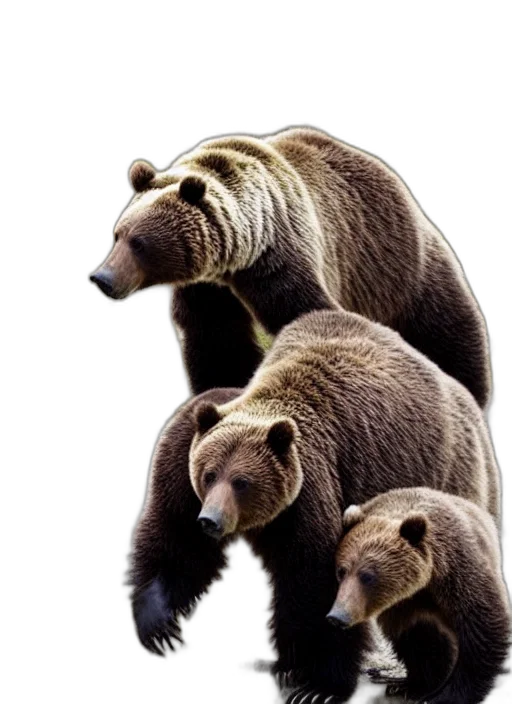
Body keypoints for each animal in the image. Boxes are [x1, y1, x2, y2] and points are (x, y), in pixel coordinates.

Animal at [90, 126, 492, 411]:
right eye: (117, 234)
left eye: (139, 243)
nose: (102, 278)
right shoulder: (208, 290)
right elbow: (217, 341)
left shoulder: (284, 259)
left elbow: (307, 314)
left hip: (399, 266)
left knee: (445, 328)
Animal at [328, 488, 512, 704]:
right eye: (341, 571)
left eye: (367, 576)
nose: (337, 616)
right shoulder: (404, 606)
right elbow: (420, 638)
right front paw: (412, 687)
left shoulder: (459, 570)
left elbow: (482, 626)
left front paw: (448, 695)